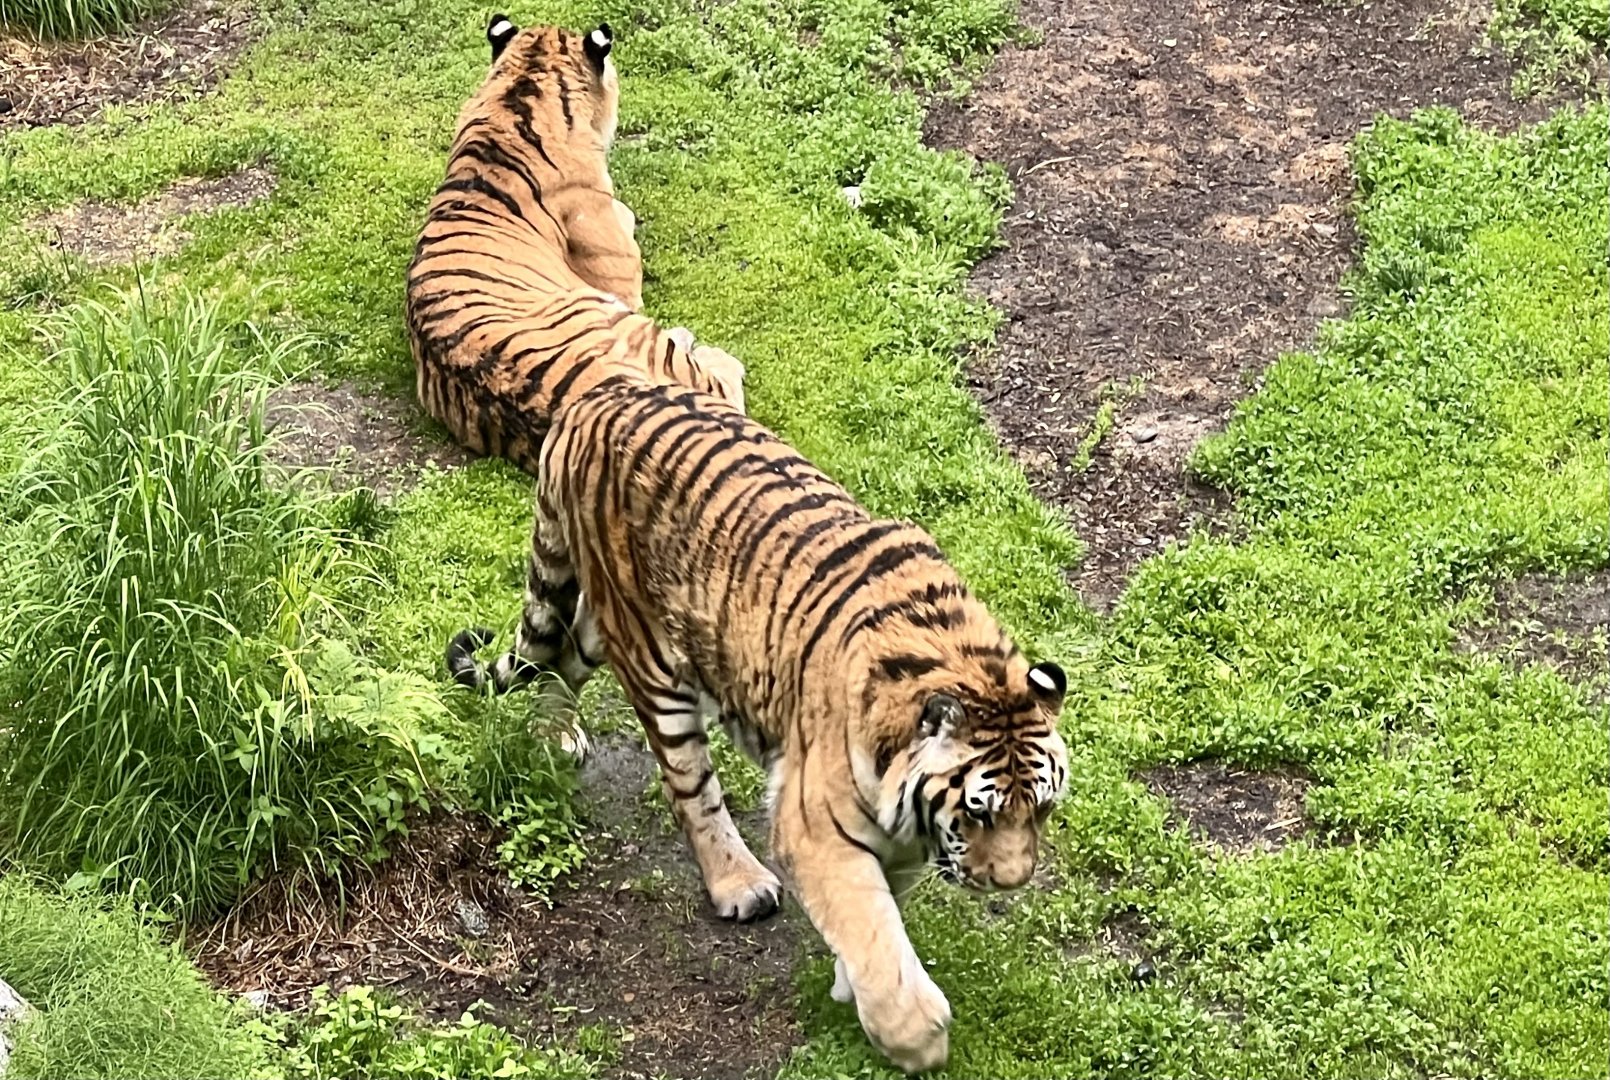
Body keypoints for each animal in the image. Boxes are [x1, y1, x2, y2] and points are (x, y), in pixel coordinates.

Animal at [446, 375, 1070, 1073]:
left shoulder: (906, 838)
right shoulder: (815, 829)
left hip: (608, 627)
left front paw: (849, 987)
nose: (1010, 882)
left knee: (559, 655)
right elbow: (871, 929)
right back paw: (738, 882)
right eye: (979, 812)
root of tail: (595, 396)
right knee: (691, 790)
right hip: (652, 658)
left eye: (1042, 809)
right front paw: (915, 1037)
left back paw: (553, 737)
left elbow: (882, 916)